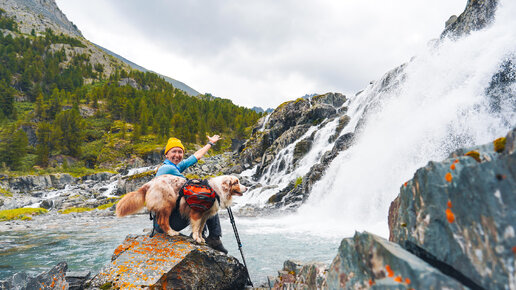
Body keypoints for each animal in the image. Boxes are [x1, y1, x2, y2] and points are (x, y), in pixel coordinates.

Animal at [115, 173, 248, 244]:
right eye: (236, 182)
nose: (246, 188)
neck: (216, 189)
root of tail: (150, 183)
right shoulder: (196, 213)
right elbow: (196, 228)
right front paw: (196, 238)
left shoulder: (204, 215)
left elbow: (200, 228)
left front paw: (201, 238)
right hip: (168, 203)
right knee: (162, 221)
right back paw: (172, 232)